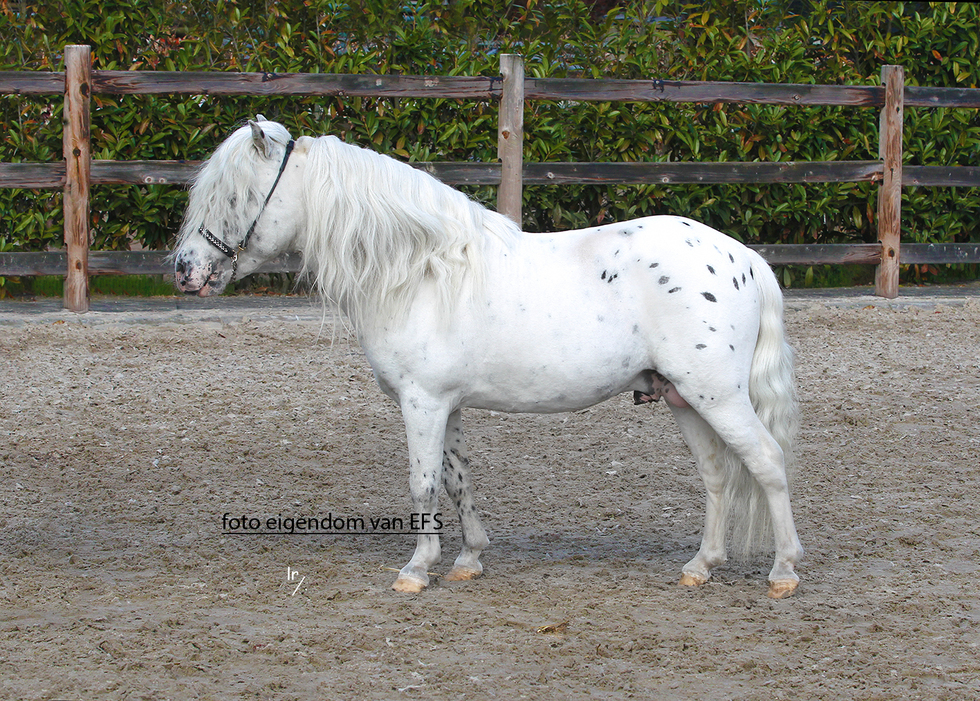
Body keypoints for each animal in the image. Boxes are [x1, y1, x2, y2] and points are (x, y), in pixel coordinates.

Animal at [173, 118, 804, 599]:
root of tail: (747, 259)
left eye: (233, 195)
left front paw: (416, 569)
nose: (183, 270)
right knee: (718, 474)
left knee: (768, 463)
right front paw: (468, 558)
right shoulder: (446, 405)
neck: (418, 273)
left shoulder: (421, 403)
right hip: (683, 398)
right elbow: (456, 478)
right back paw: (701, 566)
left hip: (717, 397)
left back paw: (783, 572)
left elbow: (423, 483)